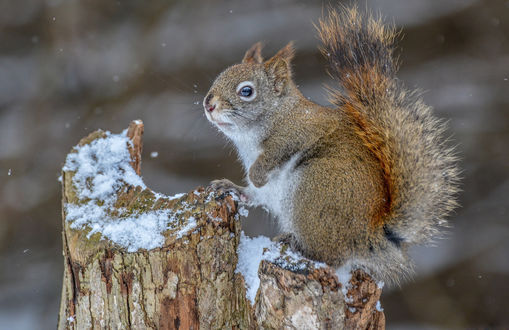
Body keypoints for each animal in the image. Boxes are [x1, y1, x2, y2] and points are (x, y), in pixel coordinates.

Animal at [202, 6, 460, 284]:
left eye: (246, 91)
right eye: (219, 76)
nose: (209, 104)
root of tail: (369, 238)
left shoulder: (301, 130)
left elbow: (276, 152)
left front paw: (257, 174)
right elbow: (254, 192)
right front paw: (231, 185)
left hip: (315, 187)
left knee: (331, 256)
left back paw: (295, 244)